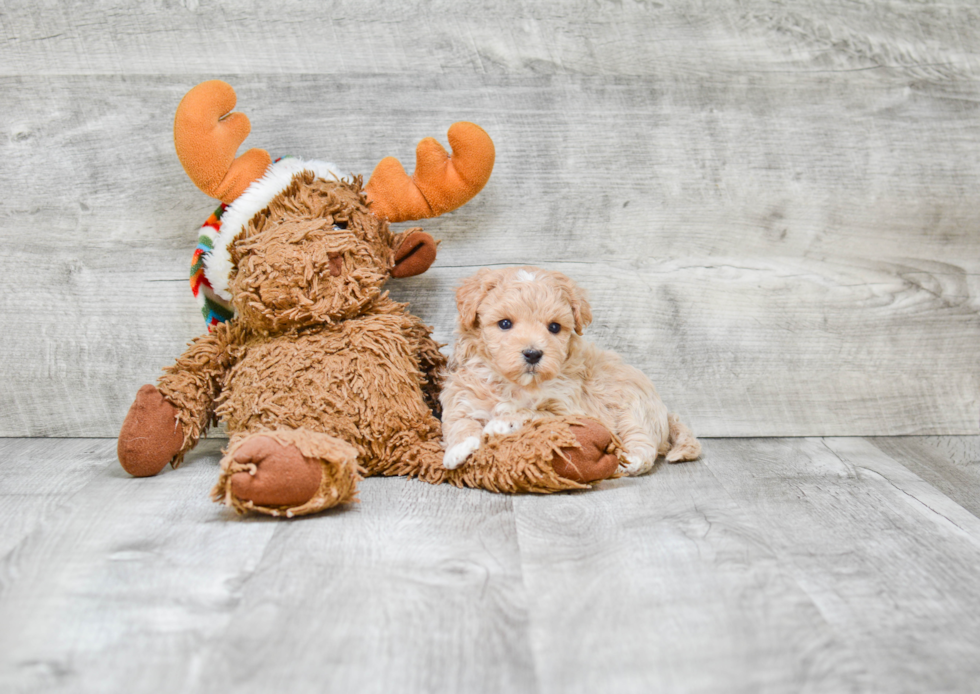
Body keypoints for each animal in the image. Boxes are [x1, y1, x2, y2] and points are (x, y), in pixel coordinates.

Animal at [440, 266, 700, 474]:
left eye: (554, 327)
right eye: (504, 323)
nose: (533, 354)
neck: (517, 385)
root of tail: (665, 411)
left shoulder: (572, 410)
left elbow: (536, 413)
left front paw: (503, 422)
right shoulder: (462, 396)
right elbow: (458, 422)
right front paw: (458, 449)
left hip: (633, 409)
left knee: (643, 441)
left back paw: (629, 462)